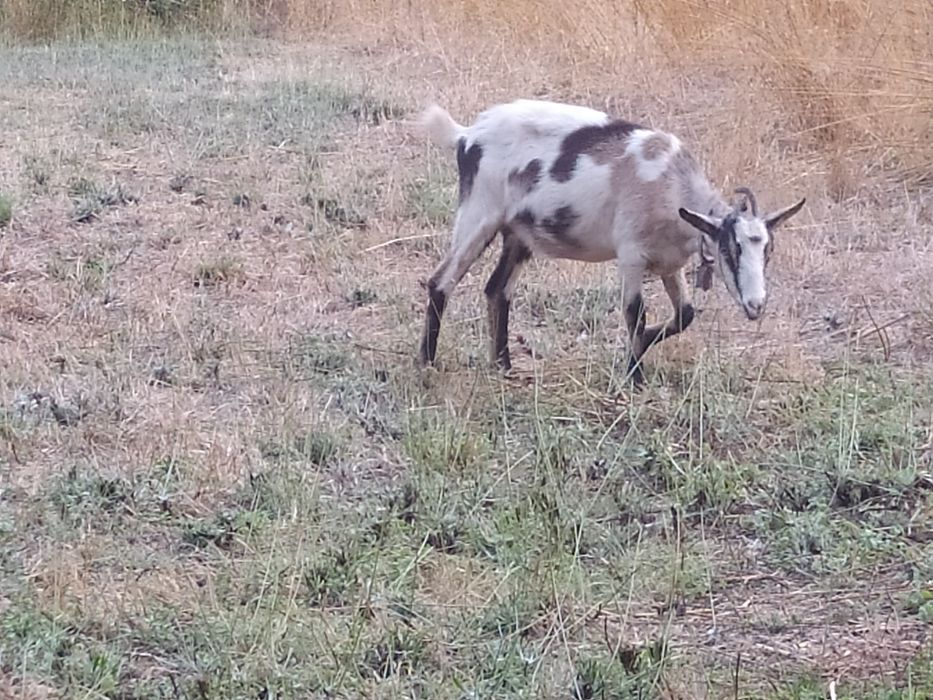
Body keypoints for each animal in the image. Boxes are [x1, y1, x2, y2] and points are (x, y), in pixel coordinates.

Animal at [416, 98, 806, 384]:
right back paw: (427, 364)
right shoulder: (632, 256)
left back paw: (503, 366)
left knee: (497, 290)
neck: (670, 183)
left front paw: (641, 349)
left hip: (519, 233)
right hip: (479, 215)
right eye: (729, 248)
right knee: (441, 281)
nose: (756, 305)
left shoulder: (669, 264)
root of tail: (467, 135)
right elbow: (635, 313)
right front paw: (635, 376)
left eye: (768, 251)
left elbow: (685, 315)